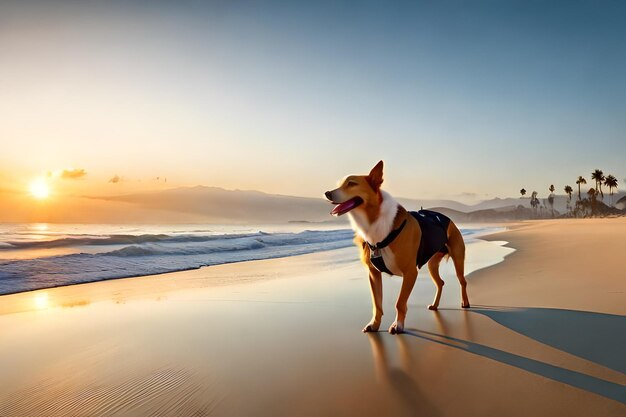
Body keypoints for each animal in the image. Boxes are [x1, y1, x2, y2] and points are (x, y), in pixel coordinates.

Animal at [324, 161, 466, 334]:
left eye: (351, 183)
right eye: (339, 184)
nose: (327, 193)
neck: (374, 222)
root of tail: (448, 219)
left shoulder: (410, 273)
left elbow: (399, 302)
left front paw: (397, 325)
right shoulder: (373, 274)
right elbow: (376, 304)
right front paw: (374, 324)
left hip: (458, 259)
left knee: (462, 281)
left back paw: (465, 303)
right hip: (432, 264)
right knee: (440, 283)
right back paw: (435, 305)